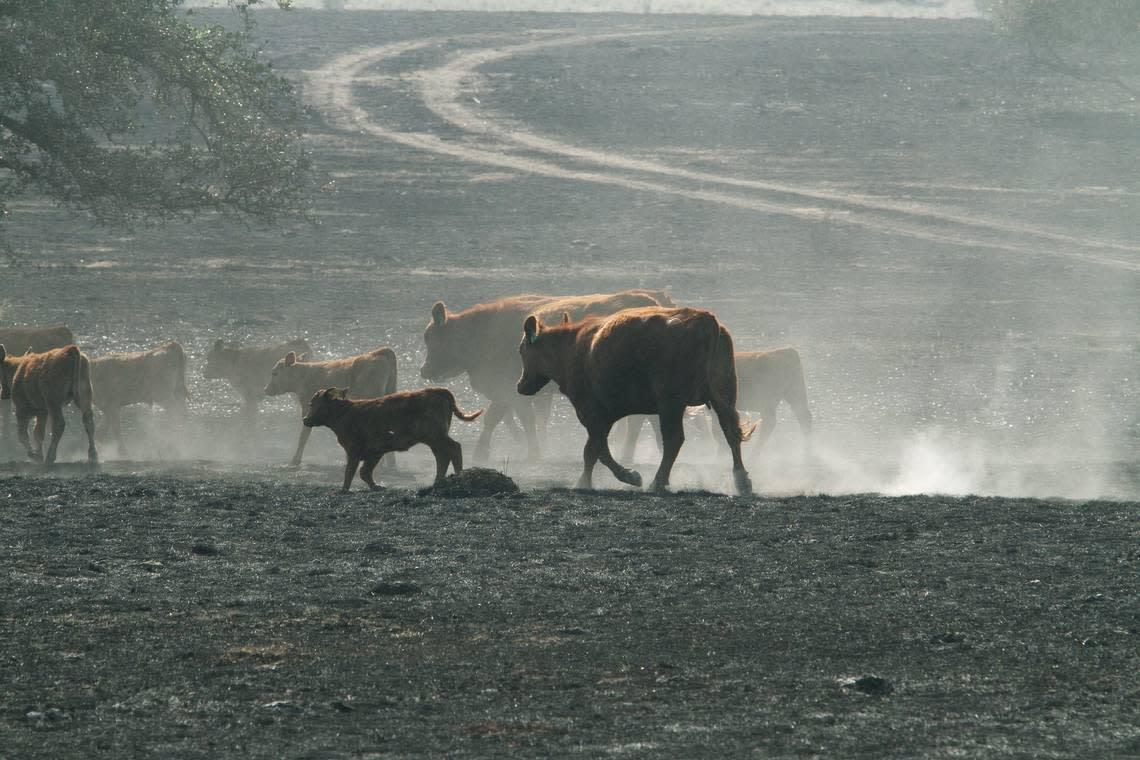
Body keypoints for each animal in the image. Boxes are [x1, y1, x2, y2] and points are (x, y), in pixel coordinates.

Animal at [264, 348, 399, 467]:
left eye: (275, 373)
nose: (266, 389)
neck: (305, 376)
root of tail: (381, 351)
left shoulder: (307, 408)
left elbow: (303, 436)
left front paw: (295, 461)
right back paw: (391, 464)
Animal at [298, 387, 481, 494]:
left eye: (312, 403)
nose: (305, 419)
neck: (343, 413)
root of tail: (437, 390)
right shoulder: (375, 452)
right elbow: (365, 472)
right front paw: (377, 486)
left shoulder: (354, 450)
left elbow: (350, 471)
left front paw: (344, 490)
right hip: (434, 440)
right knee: (442, 456)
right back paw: (438, 482)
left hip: (435, 436)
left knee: (454, 449)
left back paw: (458, 477)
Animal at [419, 288, 670, 460]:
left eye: (431, 338)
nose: (423, 370)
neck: (484, 331)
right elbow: (516, 418)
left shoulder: (508, 391)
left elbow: (502, 418)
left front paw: (521, 452)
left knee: (639, 421)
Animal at [519, 305, 756, 496]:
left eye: (521, 350)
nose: (520, 386)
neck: (571, 347)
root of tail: (705, 319)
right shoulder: (605, 415)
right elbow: (592, 451)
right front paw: (583, 483)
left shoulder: (590, 411)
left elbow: (599, 449)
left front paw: (629, 476)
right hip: (725, 393)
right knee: (730, 433)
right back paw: (742, 481)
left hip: (670, 403)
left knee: (674, 440)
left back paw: (657, 483)